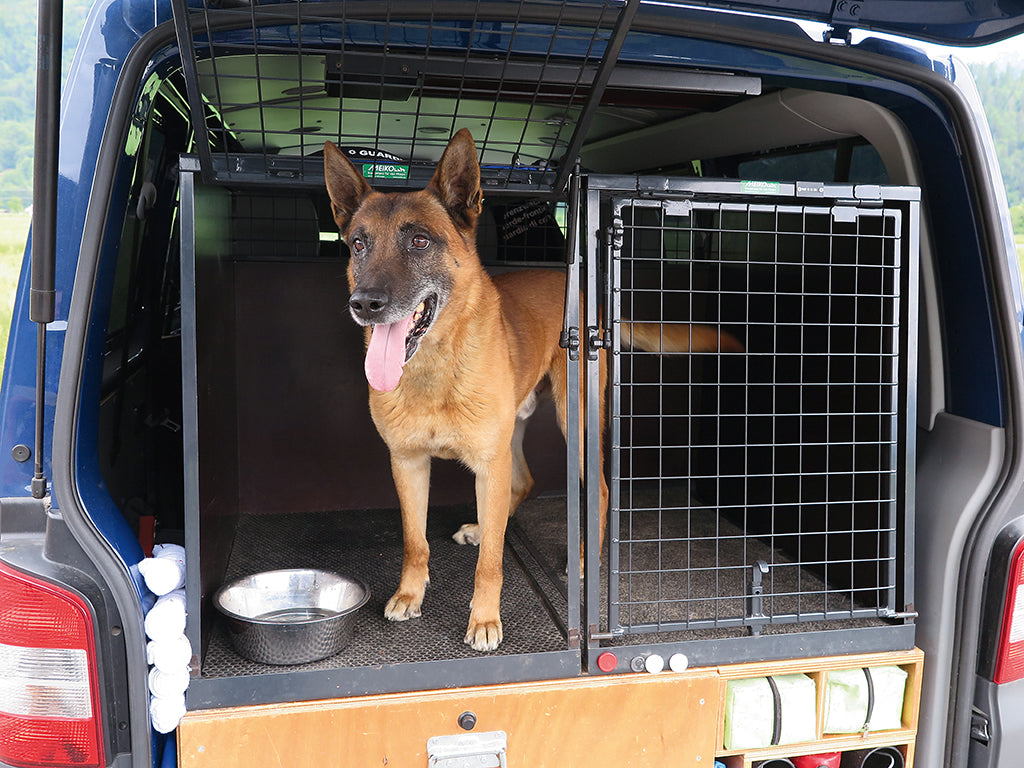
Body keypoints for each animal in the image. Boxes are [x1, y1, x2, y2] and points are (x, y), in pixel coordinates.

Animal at [323, 129, 741, 651]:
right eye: (359, 244)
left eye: (419, 241)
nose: (364, 304)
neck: (435, 366)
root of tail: (577, 289)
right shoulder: (408, 463)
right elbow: (414, 541)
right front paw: (410, 593)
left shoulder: (488, 462)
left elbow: (492, 563)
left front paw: (485, 619)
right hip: (514, 433)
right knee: (522, 484)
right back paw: (485, 527)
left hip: (574, 422)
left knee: (598, 491)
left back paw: (581, 560)